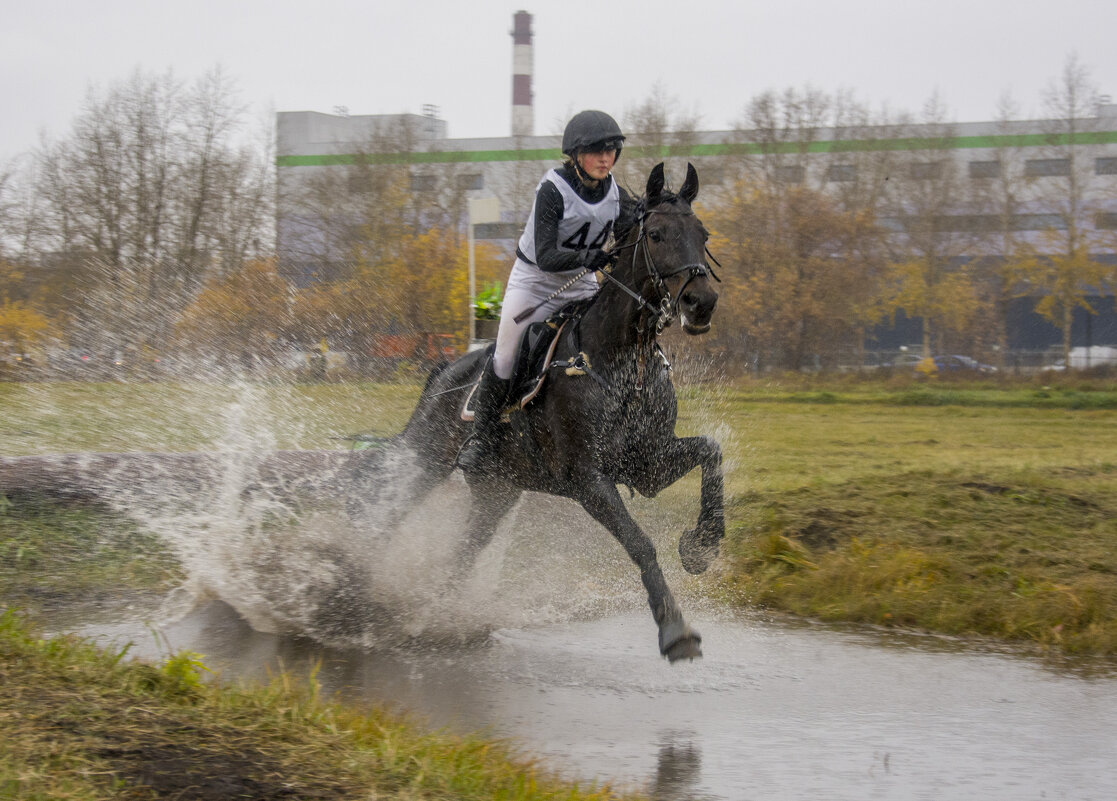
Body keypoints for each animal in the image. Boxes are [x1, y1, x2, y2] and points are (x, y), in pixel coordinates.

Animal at [352, 161, 728, 661]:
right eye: (657, 235)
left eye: (703, 233)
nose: (700, 303)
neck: (620, 360)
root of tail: (443, 373)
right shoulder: (588, 479)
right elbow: (641, 544)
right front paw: (674, 630)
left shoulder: (646, 466)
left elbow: (711, 451)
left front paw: (702, 546)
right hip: (426, 461)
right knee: (386, 510)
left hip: (497, 491)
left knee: (464, 552)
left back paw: (433, 618)